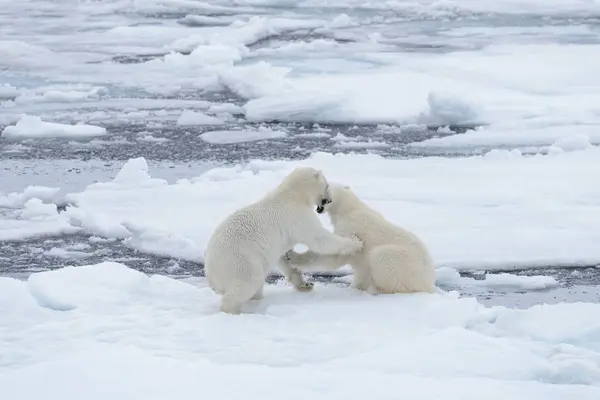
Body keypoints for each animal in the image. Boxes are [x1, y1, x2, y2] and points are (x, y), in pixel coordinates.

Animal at [204, 167, 364, 314]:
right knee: (248, 283)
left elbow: (284, 256)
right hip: (240, 262)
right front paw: (355, 242)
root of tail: (211, 274)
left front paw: (305, 284)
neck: (291, 195)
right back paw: (235, 310)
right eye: (327, 185)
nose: (329, 199)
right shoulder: (297, 215)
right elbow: (318, 239)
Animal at [282, 184, 436, 294]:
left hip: (404, 263)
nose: (320, 205)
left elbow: (337, 254)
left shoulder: (350, 227)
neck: (348, 209)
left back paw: (375, 288)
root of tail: (428, 282)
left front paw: (292, 256)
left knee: (380, 257)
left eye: (326, 186)